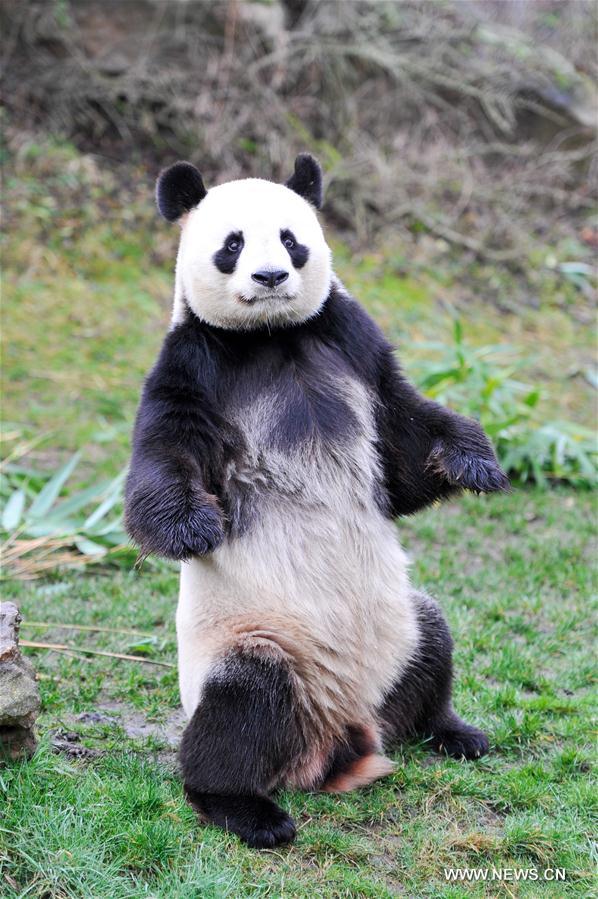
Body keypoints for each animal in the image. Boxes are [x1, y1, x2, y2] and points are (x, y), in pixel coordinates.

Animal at [126, 155, 510, 852]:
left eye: (290, 238)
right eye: (232, 245)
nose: (272, 277)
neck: (271, 336)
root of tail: (343, 732)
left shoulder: (350, 341)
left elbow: (404, 439)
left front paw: (475, 462)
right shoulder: (193, 363)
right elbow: (164, 456)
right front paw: (194, 528)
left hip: (399, 629)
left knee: (433, 645)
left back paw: (454, 731)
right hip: (260, 643)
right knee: (241, 710)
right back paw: (247, 811)